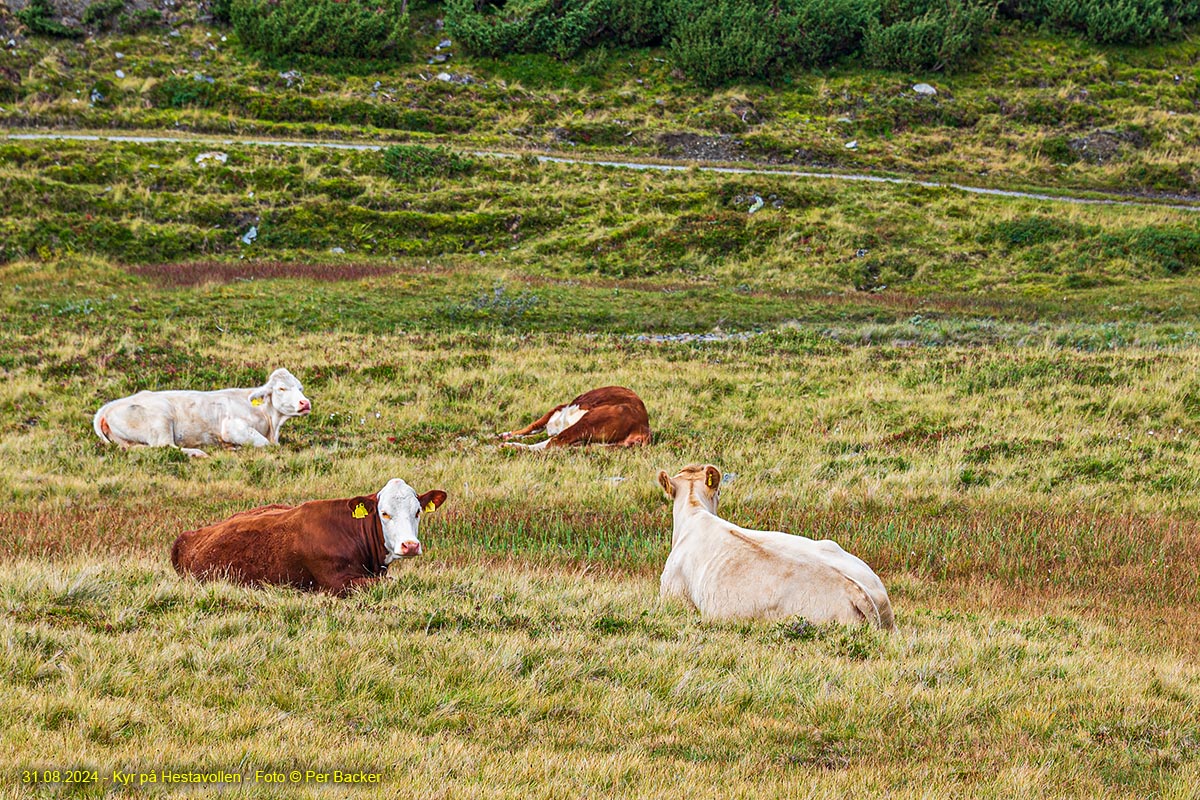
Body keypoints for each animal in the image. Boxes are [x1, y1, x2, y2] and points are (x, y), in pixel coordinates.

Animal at [93, 367, 312, 455]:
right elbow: (265, 444)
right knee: (165, 446)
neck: (271, 423)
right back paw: (198, 453)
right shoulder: (232, 427)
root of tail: (109, 406)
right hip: (160, 419)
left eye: (300, 388)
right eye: (281, 388)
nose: (305, 403)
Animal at [496, 386, 652, 450]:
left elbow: (533, 425)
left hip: (588, 421)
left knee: (553, 443)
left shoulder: (556, 409)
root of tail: (644, 427)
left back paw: (510, 446)